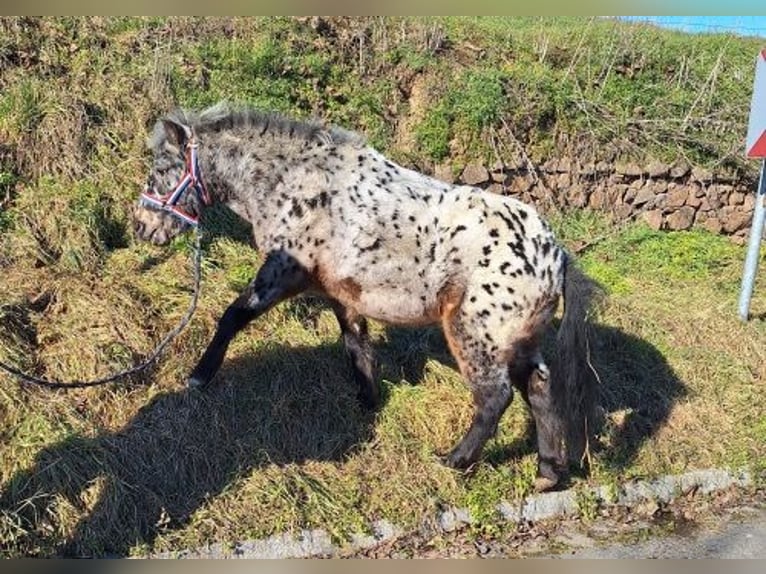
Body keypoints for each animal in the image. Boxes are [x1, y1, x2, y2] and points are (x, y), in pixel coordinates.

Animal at [132, 102, 604, 490]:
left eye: (162, 168)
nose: (141, 226)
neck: (294, 182)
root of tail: (556, 255)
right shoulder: (343, 295)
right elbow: (356, 345)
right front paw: (369, 403)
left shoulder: (282, 273)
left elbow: (232, 317)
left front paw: (199, 376)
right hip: (517, 339)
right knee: (539, 388)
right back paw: (547, 473)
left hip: (475, 335)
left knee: (495, 398)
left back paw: (454, 460)